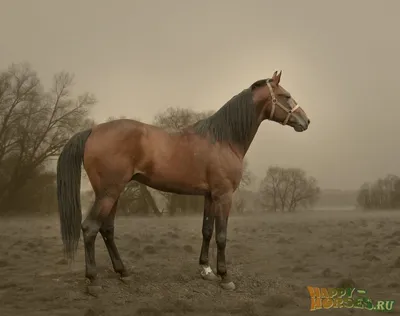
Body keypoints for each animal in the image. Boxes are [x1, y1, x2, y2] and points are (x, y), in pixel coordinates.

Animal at [57, 70, 310, 292]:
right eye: (285, 96)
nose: (306, 121)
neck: (224, 139)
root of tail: (92, 131)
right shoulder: (224, 195)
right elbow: (221, 236)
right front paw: (225, 277)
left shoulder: (210, 195)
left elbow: (207, 230)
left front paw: (206, 270)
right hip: (109, 192)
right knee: (90, 228)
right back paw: (93, 281)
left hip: (113, 192)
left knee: (107, 229)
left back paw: (123, 273)